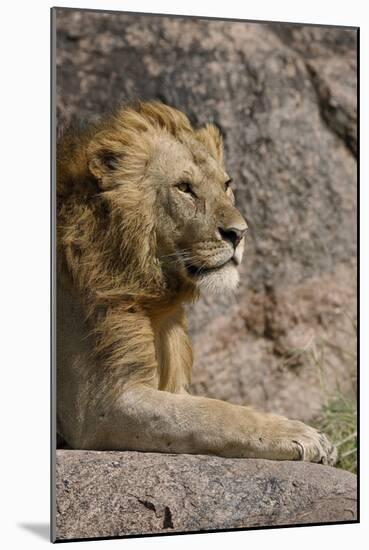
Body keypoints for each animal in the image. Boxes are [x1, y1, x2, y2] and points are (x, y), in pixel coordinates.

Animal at [56, 100, 336, 466]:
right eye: (184, 188)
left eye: (227, 184)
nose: (239, 233)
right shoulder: (99, 406)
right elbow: (214, 414)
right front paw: (302, 435)